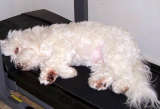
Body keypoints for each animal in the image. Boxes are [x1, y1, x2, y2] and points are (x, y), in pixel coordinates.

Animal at [0, 21, 159, 108]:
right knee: (109, 73)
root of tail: (135, 51)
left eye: (16, 49)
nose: (17, 66)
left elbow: (53, 61)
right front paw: (53, 75)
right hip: (101, 62)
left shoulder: (63, 48)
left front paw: (54, 74)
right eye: (10, 58)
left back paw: (120, 86)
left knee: (125, 75)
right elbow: (53, 66)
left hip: (114, 55)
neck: (41, 40)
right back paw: (98, 82)